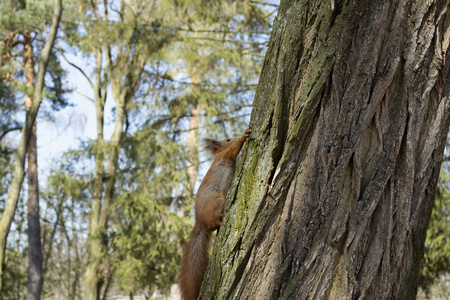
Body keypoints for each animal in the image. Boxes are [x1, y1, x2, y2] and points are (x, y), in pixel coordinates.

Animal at [178, 127, 251, 300]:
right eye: (228, 140)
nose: (235, 136)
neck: (218, 154)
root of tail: (199, 220)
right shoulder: (226, 155)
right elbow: (234, 149)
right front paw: (244, 135)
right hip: (217, 198)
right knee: (212, 224)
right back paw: (219, 221)